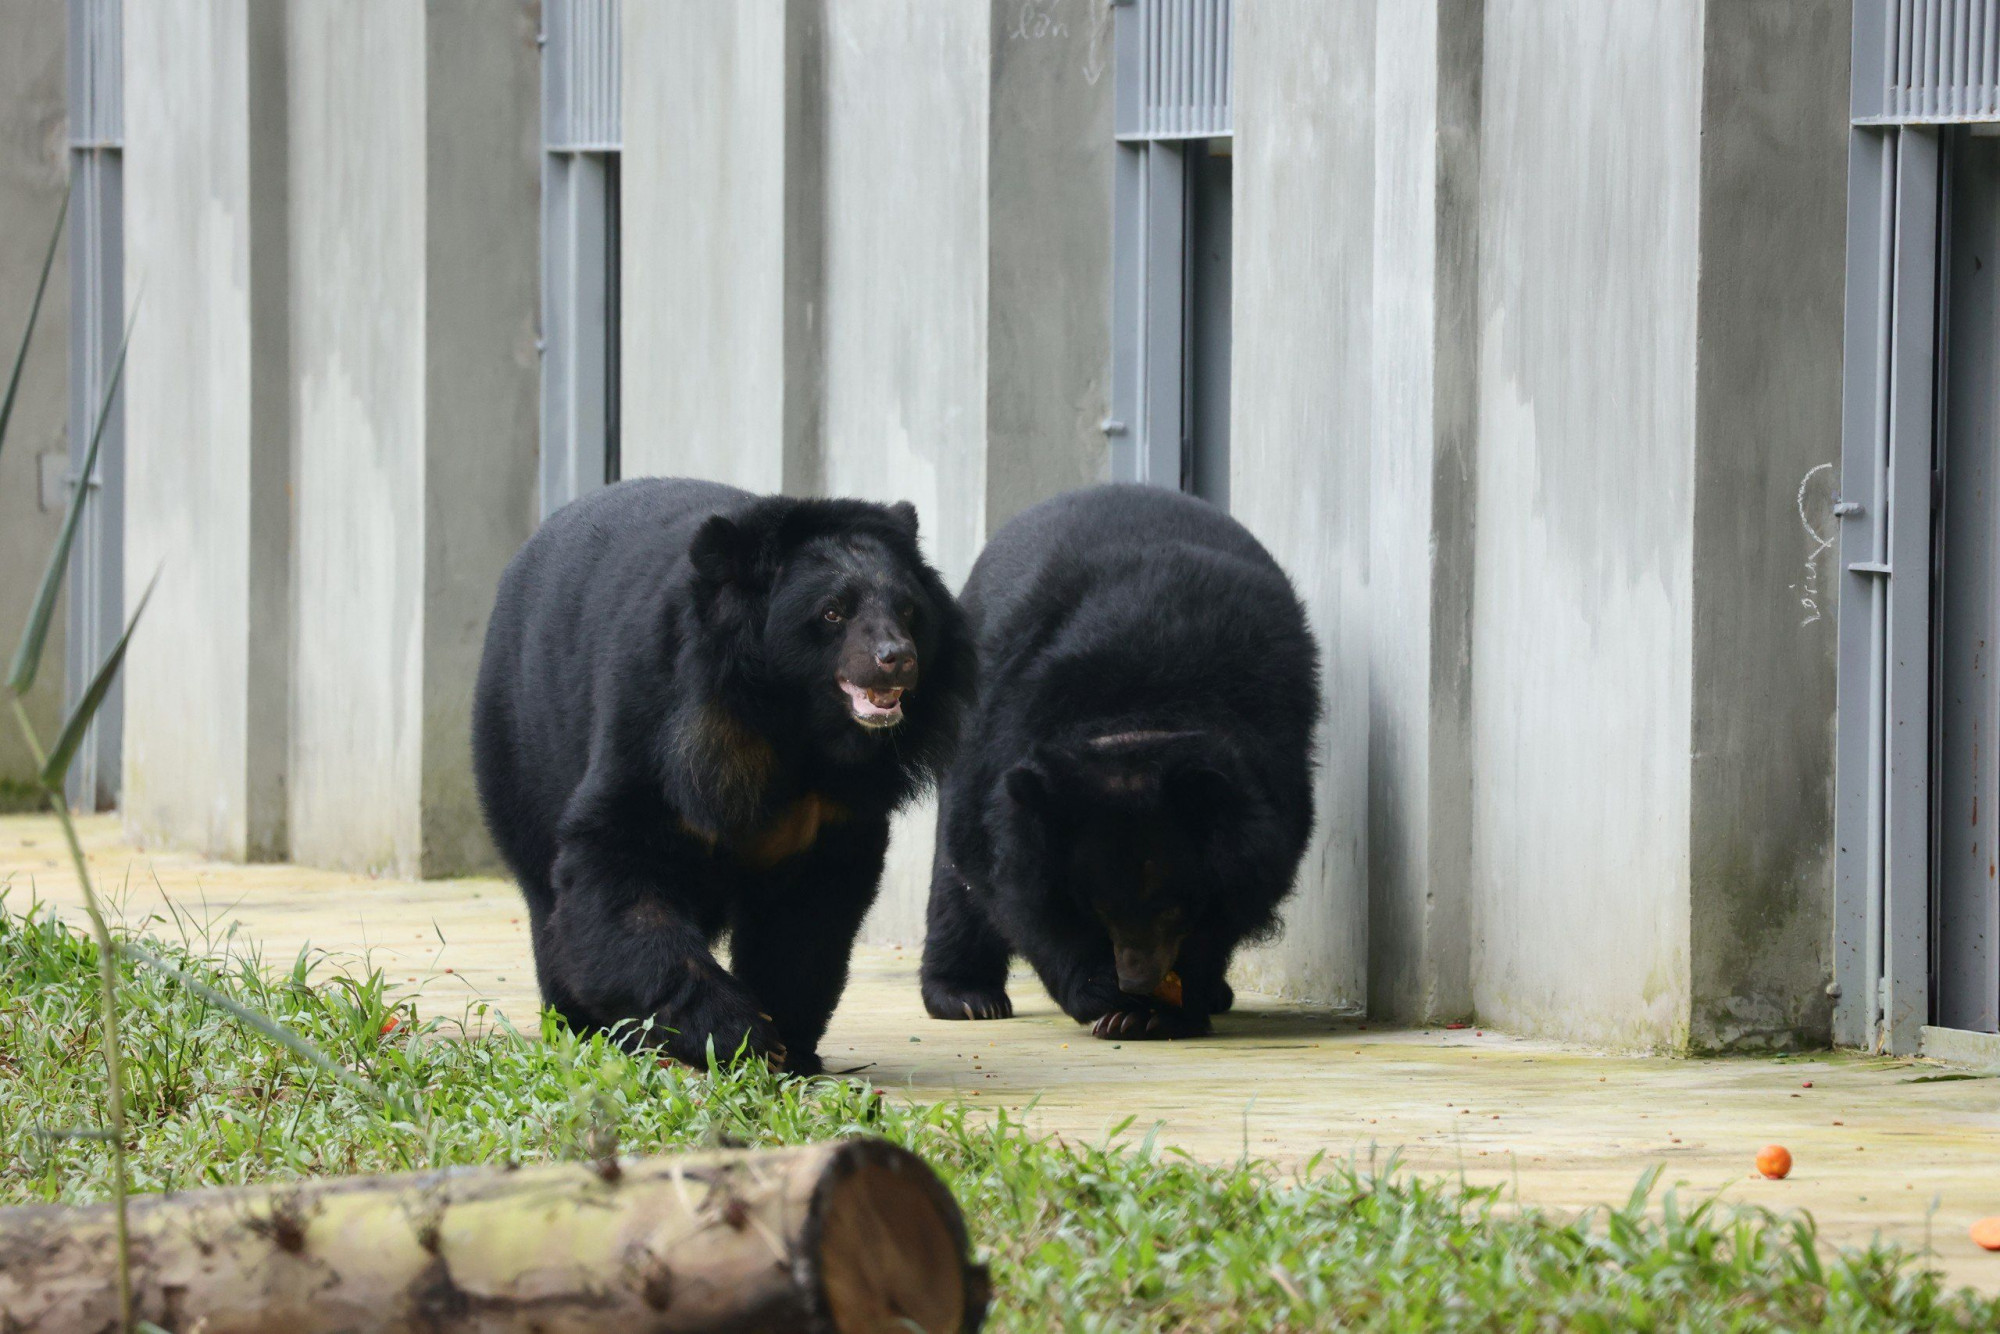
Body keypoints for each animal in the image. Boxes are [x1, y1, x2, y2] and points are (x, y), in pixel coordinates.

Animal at [470, 480, 968, 1072]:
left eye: (908, 610)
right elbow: (616, 868)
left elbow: (808, 915)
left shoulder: (838, 805)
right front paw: (738, 1034)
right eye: (833, 612)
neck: (796, 725)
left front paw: (789, 1044)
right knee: (546, 889)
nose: (897, 658)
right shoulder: (662, 721)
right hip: (522, 745)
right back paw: (579, 1023)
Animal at [924, 486, 1328, 1040]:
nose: (1136, 978)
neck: (1139, 719)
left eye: (1174, 905)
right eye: (1098, 905)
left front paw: (1161, 1009)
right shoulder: (1008, 732)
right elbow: (1007, 871)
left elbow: (1239, 886)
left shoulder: (1269, 769)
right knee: (954, 872)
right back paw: (966, 997)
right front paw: (1100, 992)